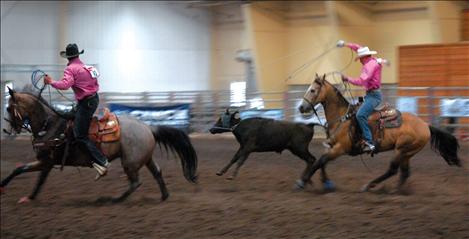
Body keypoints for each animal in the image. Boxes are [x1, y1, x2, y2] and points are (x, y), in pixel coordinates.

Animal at [0, 88, 197, 204]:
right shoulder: (43, 162)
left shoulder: (46, 163)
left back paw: (114, 199)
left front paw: (28, 196)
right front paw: (9, 189)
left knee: (136, 182)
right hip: (145, 159)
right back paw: (164, 196)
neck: (50, 126)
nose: (8, 129)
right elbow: (19, 169)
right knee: (157, 173)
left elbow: (38, 180)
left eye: (9, 108)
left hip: (130, 162)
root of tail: (149, 127)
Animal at [296, 74, 460, 191]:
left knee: (393, 169)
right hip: (407, 153)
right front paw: (326, 182)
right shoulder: (331, 146)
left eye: (312, 90)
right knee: (404, 172)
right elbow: (321, 161)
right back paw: (396, 189)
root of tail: (425, 125)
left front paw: (302, 182)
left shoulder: (340, 148)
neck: (342, 118)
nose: (301, 108)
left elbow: (320, 161)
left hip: (402, 149)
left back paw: (371, 186)